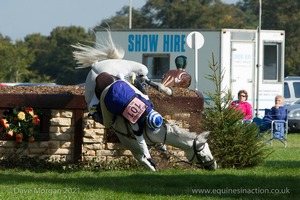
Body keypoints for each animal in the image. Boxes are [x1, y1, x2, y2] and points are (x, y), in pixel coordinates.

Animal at [72, 30, 218, 171]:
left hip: (136, 69)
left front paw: (162, 150)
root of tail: (98, 66)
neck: (152, 130)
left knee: (142, 76)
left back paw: (163, 89)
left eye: (208, 148)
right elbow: (147, 162)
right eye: (203, 153)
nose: (214, 165)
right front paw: (152, 161)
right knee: (96, 109)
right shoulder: (134, 147)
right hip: (92, 97)